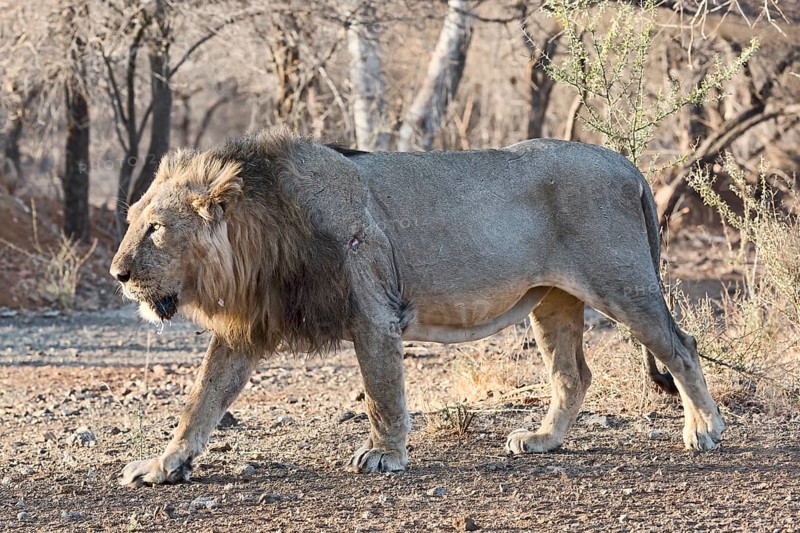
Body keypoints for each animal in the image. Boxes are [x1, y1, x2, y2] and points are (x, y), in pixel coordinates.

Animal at [110, 129, 724, 487]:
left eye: (155, 229)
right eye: (130, 222)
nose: (117, 274)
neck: (256, 237)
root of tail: (626, 164)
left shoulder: (375, 311)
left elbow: (382, 393)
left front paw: (385, 456)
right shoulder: (246, 329)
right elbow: (202, 401)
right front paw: (164, 465)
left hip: (622, 285)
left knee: (681, 346)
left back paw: (705, 428)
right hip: (554, 301)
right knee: (573, 375)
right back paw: (543, 440)